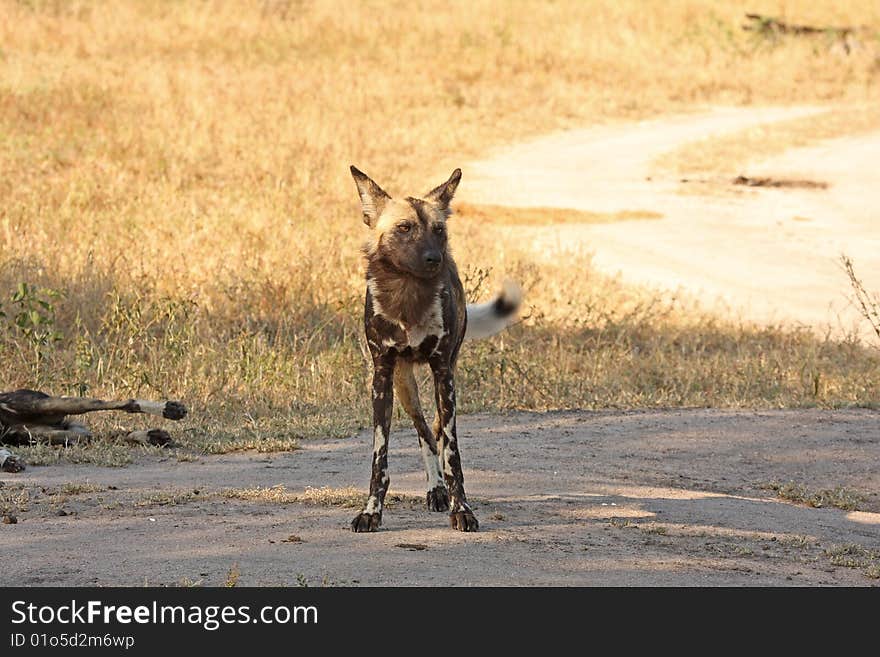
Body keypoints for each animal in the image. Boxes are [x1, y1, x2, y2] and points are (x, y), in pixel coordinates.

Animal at [0, 386, 187, 468]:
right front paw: (9, 461)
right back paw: (152, 436)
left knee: (126, 403)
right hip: (39, 434)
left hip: (47, 405)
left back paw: (170, 409)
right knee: (94, 436)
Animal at [348, 165, 520, 532]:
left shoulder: (443, 373)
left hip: (445, 380)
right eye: (404, 228)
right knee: (424, 429)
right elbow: (380, 459)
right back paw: (435, 489)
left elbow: (453, 454)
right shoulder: (382, 377)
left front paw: (462, 509)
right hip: (404, 386)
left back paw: (441, 491)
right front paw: (371, 511)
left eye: (438, 230)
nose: (434, 258)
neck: (408, 297)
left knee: (438, 429)